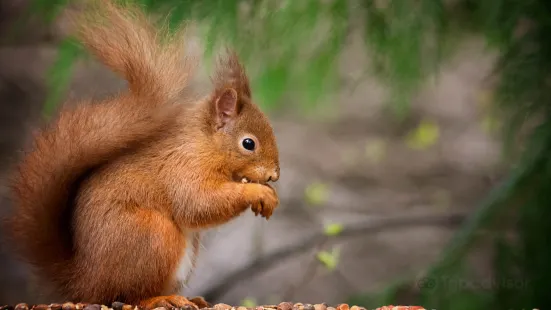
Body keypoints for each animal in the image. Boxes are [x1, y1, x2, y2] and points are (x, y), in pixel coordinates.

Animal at [4, 0, 280, 308]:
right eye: (248, 143)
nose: (274, 175)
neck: (204, 143)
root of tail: (85, 280)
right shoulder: (183, 167)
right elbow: (198, 203)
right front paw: (258, 192)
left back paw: (191, 298)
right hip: (152, 236)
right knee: (131, 296)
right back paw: (161, 299)